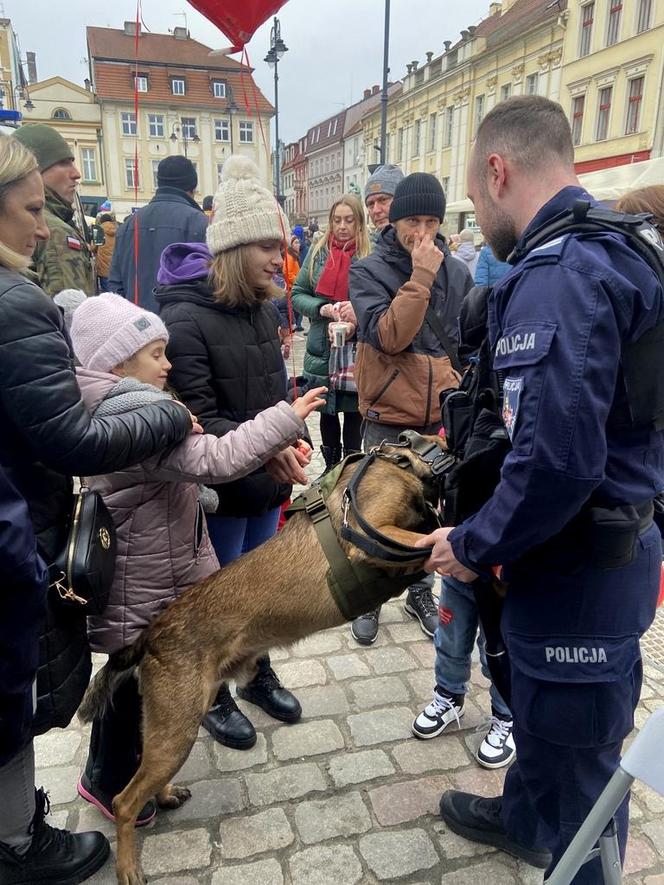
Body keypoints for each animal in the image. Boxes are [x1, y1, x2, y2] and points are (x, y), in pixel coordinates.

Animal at [78, 438, 444, 880]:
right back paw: (128, 867)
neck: (400, 461)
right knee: (124, 801)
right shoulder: (372, 532)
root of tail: (152, 632)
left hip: (171, 726)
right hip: (177, 730)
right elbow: (433, 537)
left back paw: (165, 795)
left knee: (144, 773)